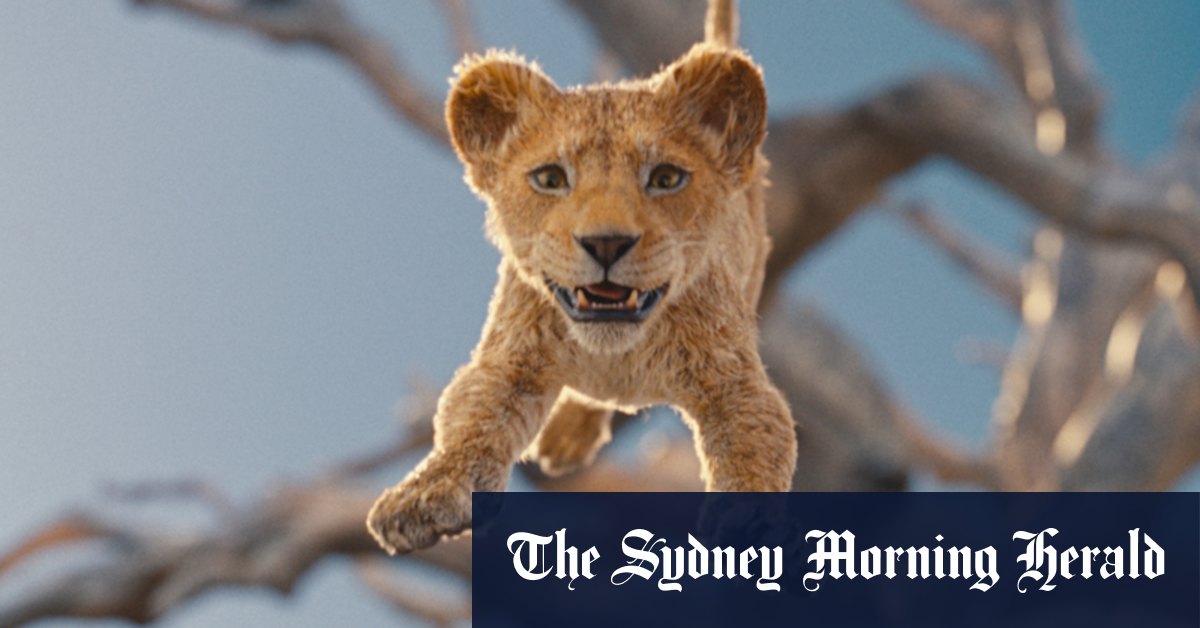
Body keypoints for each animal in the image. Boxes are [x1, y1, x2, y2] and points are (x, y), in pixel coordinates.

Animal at [367, 41, 797, 554]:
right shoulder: (510, 359)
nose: (606, 243)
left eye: (666, 178)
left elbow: (755, 445)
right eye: (551, 179)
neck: (616, 354)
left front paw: (746, 525)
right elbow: (471, 419)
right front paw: (425, 493)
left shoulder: (735, 383)